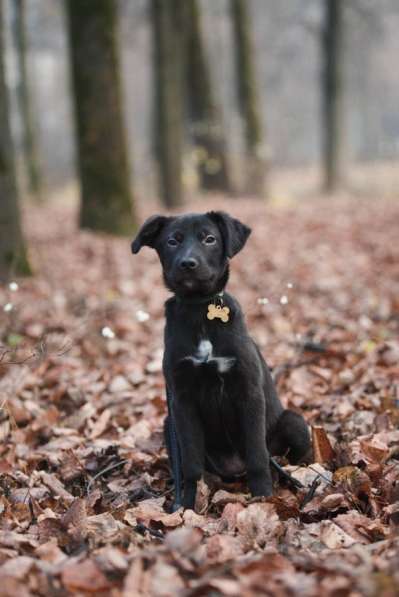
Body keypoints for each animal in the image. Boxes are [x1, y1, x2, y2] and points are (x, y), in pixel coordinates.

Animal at [133, 212, 310, 510]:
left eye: (209, 239)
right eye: (172, 241)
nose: (188, 264)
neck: (200, 310)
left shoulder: (249, 392)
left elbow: (257, 455)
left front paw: (264, 497)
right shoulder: (181, 401)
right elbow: (191, 465)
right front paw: (186, 507)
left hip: (293, 422)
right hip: (169, 426)